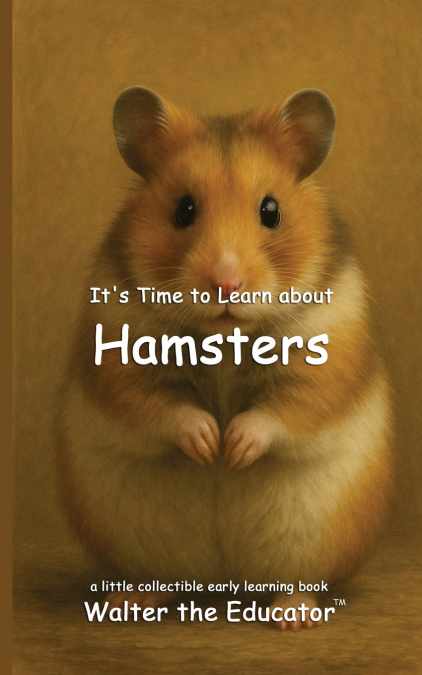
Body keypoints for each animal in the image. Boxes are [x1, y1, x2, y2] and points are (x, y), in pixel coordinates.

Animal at [57, 87, 393, 630]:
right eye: (183, 209)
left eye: (271, 211)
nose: (226, 284)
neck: (225, 338)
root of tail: (223, 582)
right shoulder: (119, 360)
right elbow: (160, 406)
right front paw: (207, 445)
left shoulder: (327, 358)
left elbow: (281, 411)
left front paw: (231, 450)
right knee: (159, 581)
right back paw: (127, 605)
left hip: (314, 541)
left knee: (299, 582)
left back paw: (291, 615)